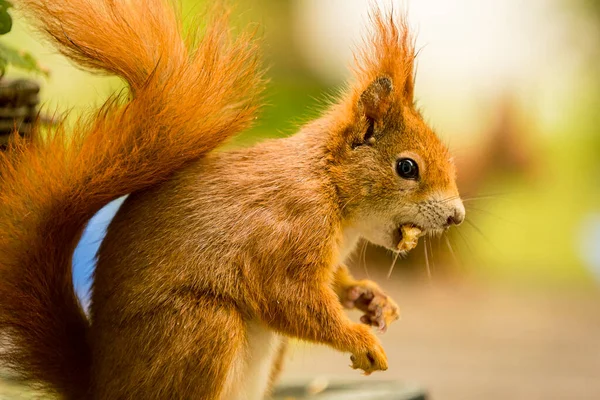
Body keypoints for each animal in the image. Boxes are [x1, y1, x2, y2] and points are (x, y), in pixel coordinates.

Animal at [0, 0, 464, 400]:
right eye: (407, 167)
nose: (457, 216)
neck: (331, 190)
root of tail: (99, 384)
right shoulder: (287, 230)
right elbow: (290, 299)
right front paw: (360, 339)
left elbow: (334, 283)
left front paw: (369, 297)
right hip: (202, 327)